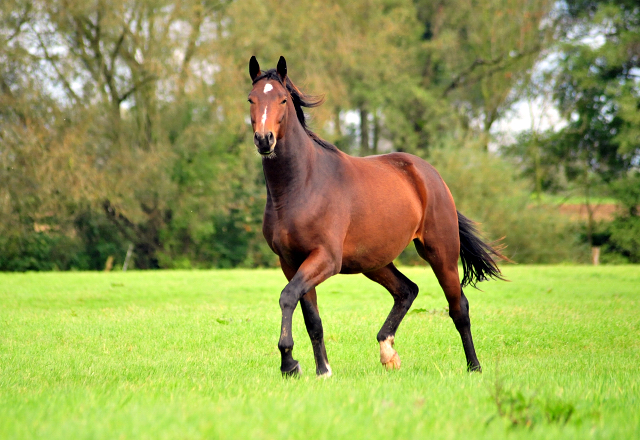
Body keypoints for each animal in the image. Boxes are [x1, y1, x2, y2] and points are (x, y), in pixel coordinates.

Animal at [248, 55, 508, 378]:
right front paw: (323, 370)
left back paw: (474, 367)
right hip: (374, 262)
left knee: (459, 308)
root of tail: (430, 175)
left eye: (283, 99)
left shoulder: (325, 259)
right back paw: (388, 352)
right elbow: (311, 317)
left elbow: (287, 296)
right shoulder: (290, 261)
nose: (264, 139)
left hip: (441, 253)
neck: (301, 186)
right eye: (251, 99)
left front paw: (289, 362)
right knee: (407, 290)